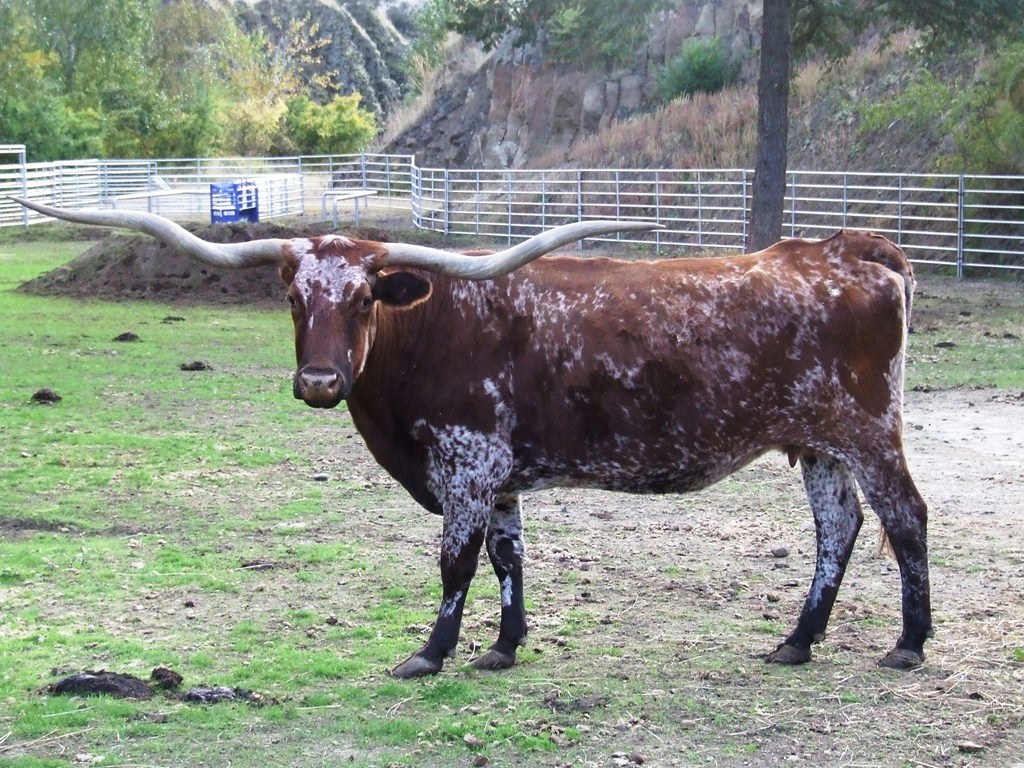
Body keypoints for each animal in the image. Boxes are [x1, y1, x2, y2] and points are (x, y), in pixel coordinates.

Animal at [12, 196, 932, 678]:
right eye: (292, 297)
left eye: (364, 298)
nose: (319, 383)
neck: (432, 328)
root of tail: (850, 248)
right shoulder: (500, 474)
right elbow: (506, 555)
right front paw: (502, 648)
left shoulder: (467, 461)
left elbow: (456, 561)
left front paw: (433, 652)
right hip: (818, 443)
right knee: (839, 528)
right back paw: (797, 642)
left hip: (868, 429)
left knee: (905, 520)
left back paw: (909, 645)